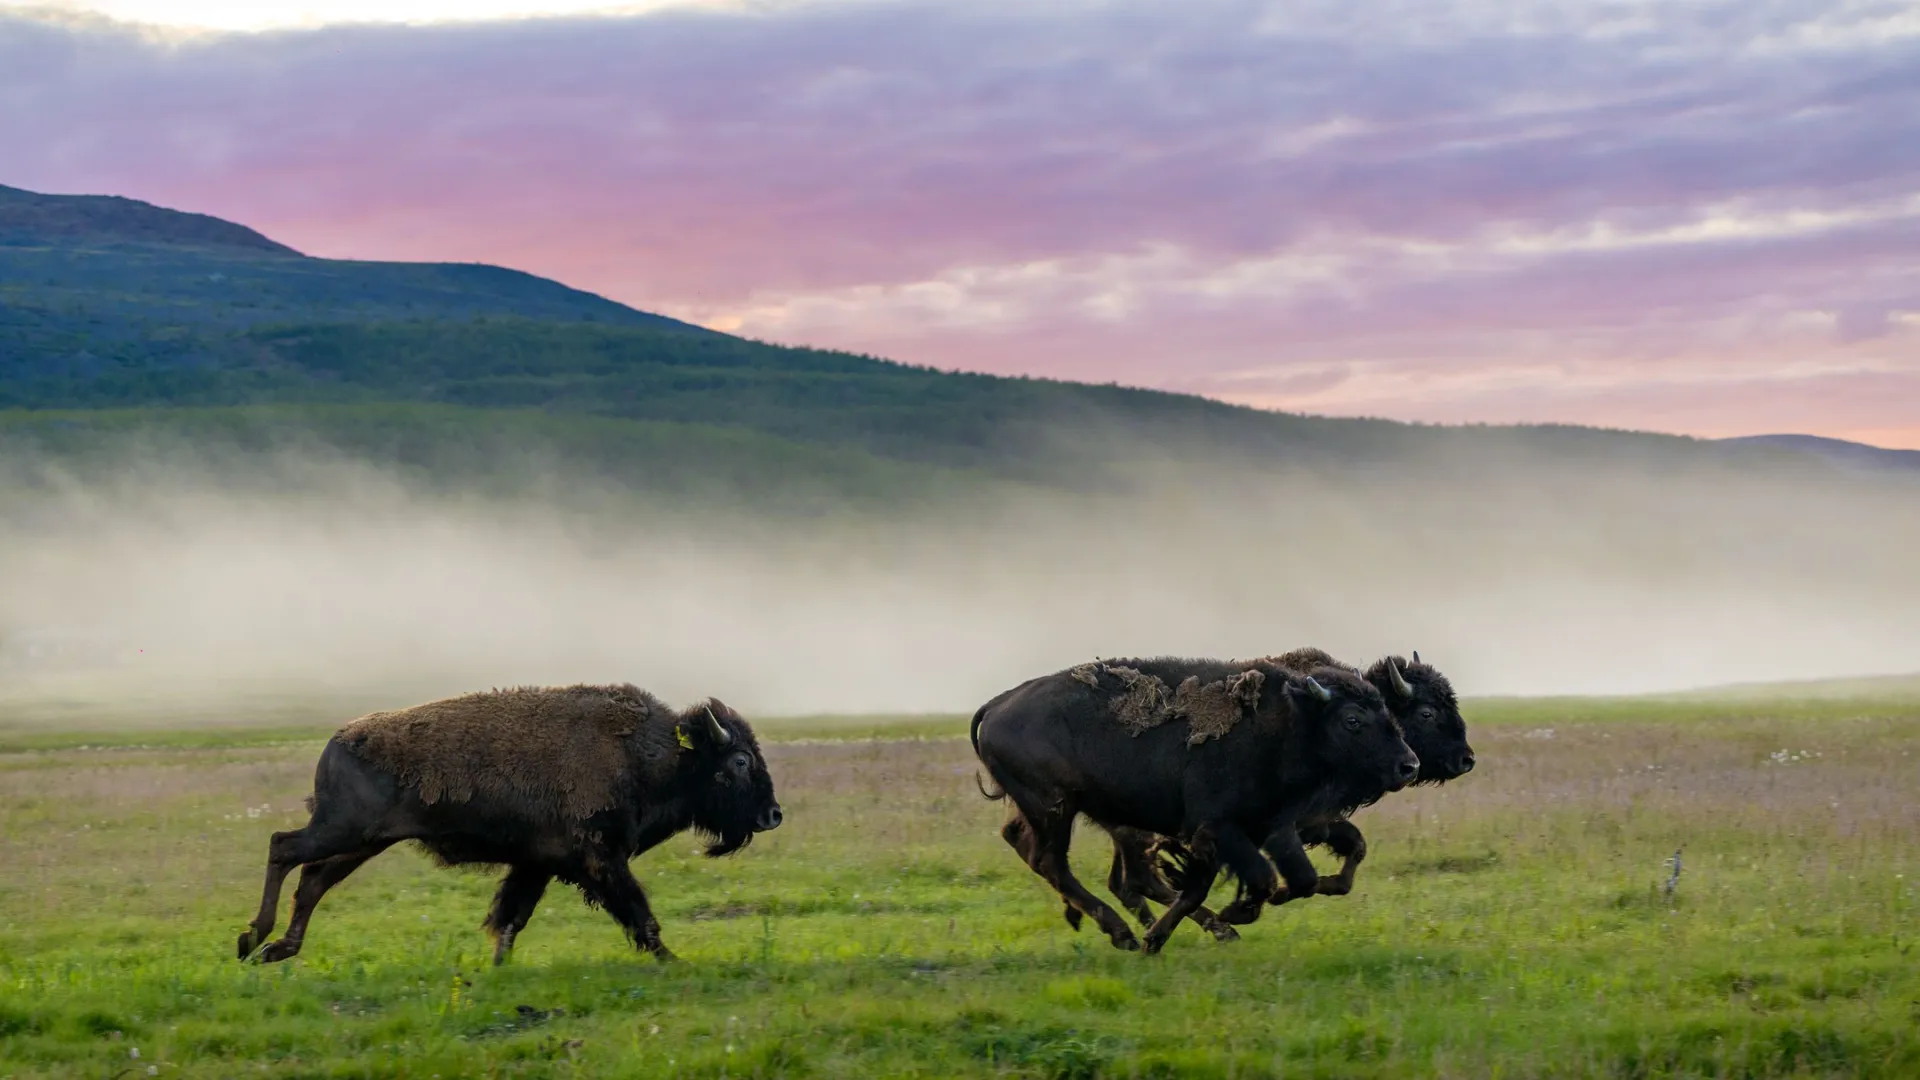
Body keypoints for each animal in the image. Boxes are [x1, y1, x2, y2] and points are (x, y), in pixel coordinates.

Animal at [234, 680, 779, 957]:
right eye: (739, 761)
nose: (773, 814)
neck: (649, 753)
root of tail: (337, 740)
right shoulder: (601, 861)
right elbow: (640, 915)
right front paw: (671, 961)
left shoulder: (538, 864)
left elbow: (512, 918)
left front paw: (496, 967)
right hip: (340, 831)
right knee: (283, 848)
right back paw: (253, 938)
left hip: (362, 842)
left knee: (312, 879)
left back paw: (277, 948)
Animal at [975, 657, 1413, 949]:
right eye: (1353, 720)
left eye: (1388, 713)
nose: (1409, 765)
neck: (1289, 723)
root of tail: (998, 705)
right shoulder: (1219, 827)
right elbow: (1260, 879)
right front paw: (1232, 916)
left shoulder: (1270, 827)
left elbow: (1293, 878)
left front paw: (1162, 938)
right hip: (1055, 809)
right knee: (1053, 863)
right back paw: (1121, 933)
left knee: (1046, 856)